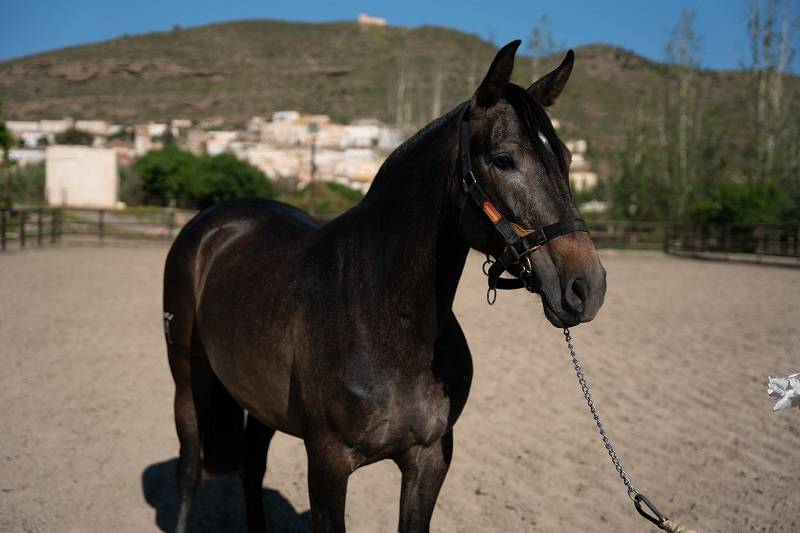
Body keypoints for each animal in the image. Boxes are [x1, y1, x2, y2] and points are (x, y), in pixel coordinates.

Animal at [162, 40, 606, 533]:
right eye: (503, 159)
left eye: (567, 158)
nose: (586, 287)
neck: (384, 315)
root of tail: (213, 224)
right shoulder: (328, 464)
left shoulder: (429, 459)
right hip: (187, 380)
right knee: (188, 471)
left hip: (259, 399)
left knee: (252, 465)